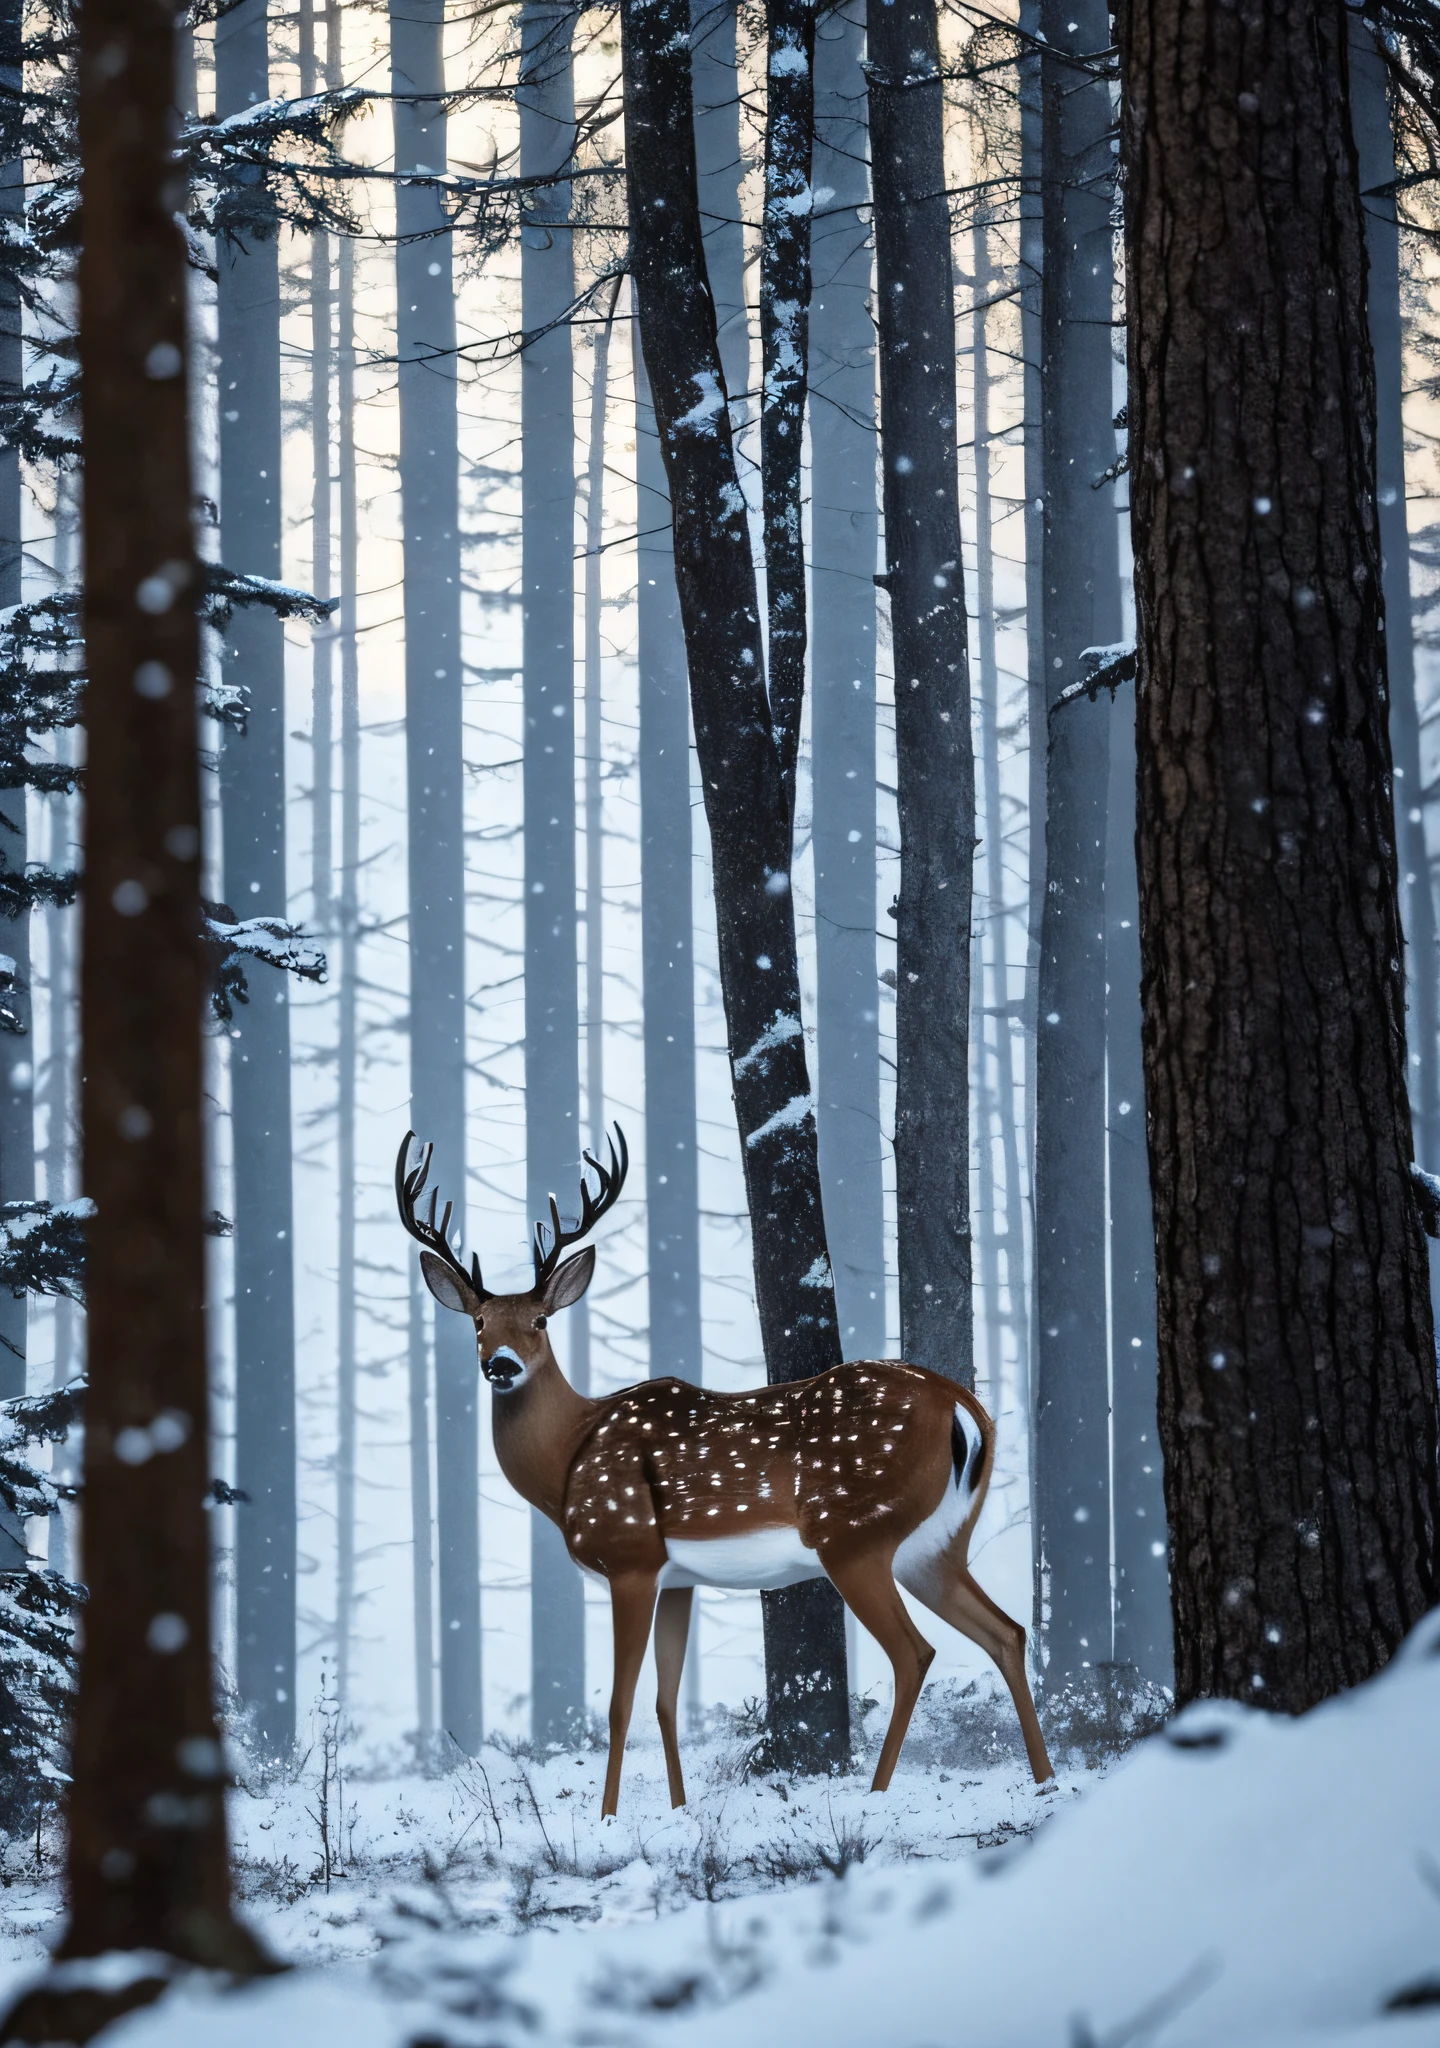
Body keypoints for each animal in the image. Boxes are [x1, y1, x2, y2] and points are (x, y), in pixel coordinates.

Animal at [399, 1130, 1056, 1818]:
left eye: (540, 1321)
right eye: (478, 1323)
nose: (499, 1365)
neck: (570, 1458)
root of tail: (965, 1406)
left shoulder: (630, 1556)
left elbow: (620, 1705)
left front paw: (607, 1817)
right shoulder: (677, 1578)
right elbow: (665, 1701)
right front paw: (678, 1810)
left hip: (853, 1531)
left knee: (915, 1652)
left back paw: (874, 1797)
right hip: (934, 1543)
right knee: (1006, 1632)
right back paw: (1045, 1781)